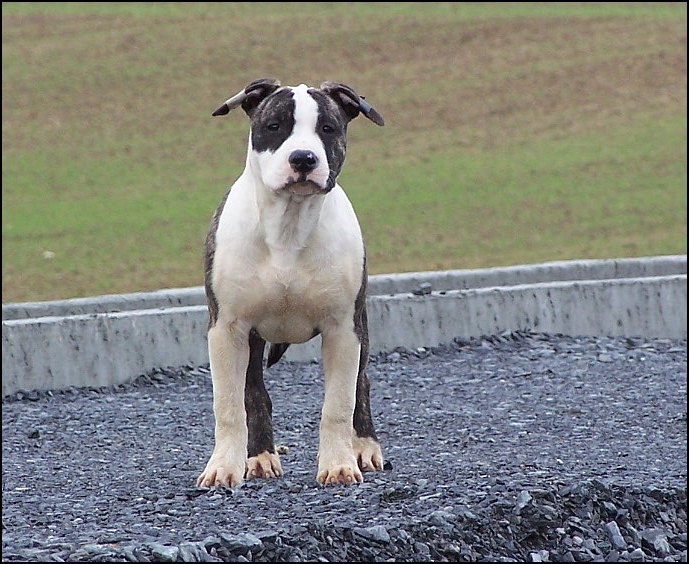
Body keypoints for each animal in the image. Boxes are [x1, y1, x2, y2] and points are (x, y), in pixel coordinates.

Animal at [196, 79, 384, 490]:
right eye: (274, 126)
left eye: (328, 128)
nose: (303, 159)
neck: (289, 225)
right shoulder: (227, 329)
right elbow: (230, 405)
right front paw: (222, 467)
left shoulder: (343, 329)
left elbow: (339, 403)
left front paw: (339, 465)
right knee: (253, 394)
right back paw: (260, 457)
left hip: (361, 327)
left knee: (361, 386)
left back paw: (363, 447)